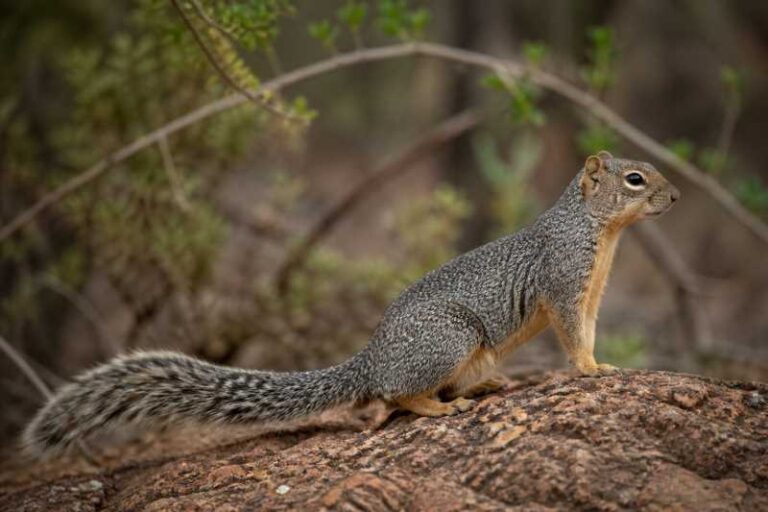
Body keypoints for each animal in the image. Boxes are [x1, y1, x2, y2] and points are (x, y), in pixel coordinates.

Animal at [23, 151, 679, 456]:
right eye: (635, 180)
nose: (674, 197)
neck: (598, 230)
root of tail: (370, 359)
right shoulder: (564, 281)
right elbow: (571, 332)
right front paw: (589, 369)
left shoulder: (591, 293)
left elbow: (587, 329)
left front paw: (602, 363)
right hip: (451, 337)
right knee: (395, 396)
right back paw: (438, 408)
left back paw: (482, 387)